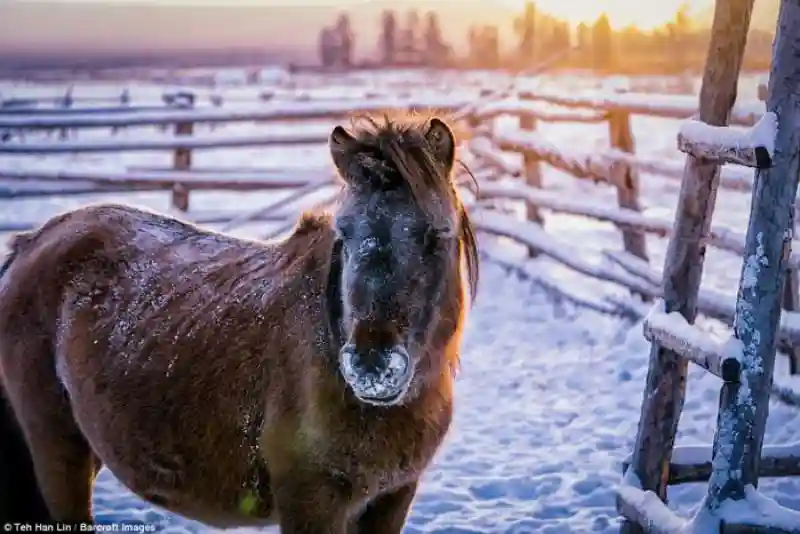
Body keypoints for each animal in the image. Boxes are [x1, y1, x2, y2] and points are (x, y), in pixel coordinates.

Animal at [0, 115, 476, 532]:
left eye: (436, 235)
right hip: (58, 450)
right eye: (344, 233)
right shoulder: (311, 501)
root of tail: (31, 243)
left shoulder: (392, 498)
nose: (371, 367)